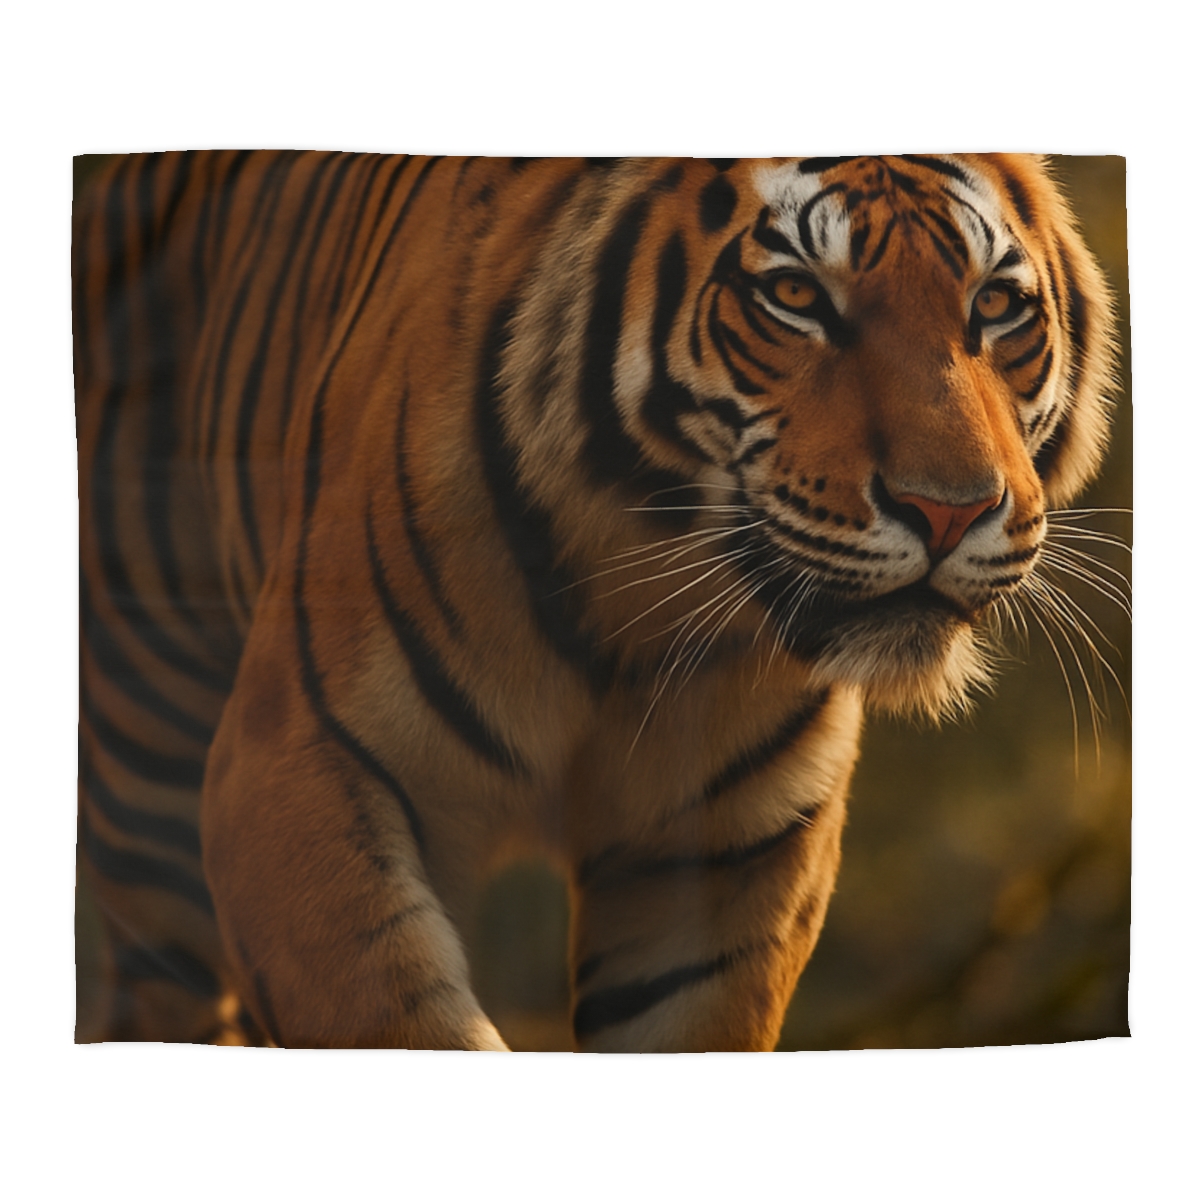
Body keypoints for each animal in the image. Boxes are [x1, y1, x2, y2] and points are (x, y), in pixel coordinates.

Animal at [74, 153, 1116, 1051]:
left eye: (995, 305)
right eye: (794, 298)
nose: (951, 511)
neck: (635, 618)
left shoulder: (730, 856)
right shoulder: (290, 770)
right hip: (150, 776)